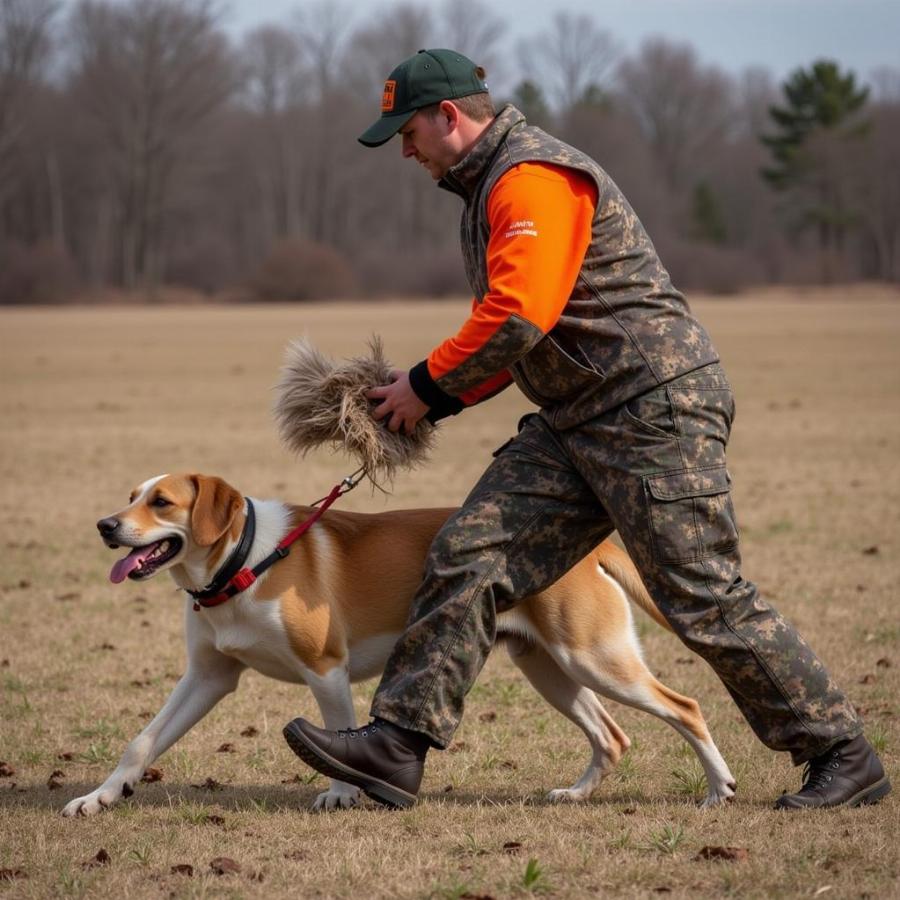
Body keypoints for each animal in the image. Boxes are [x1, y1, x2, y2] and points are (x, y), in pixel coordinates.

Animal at [63, 472, 740, 816]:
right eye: (129, 496)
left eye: (161, 502)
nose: (104, 526)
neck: (245, 561)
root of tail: (594, 544)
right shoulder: (208, 677)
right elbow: (141, 741)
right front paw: (101, 797)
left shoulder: (325, 669)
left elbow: (337, 729)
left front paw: (340, 793)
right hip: (550, 669)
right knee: (612, 735)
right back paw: (576, 794)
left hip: (596, 660)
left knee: (685, 707)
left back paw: (718, 789)